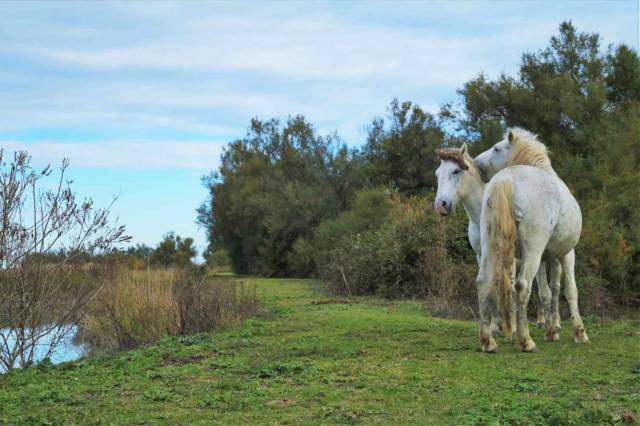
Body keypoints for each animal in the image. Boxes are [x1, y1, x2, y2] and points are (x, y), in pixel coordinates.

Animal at [436, 145, 552, 338]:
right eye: (437, 174)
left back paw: (545, 323)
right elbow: (492, 286)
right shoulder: (481, 256)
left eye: (456, 171)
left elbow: (510, 288)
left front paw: (512, 327)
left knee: (542, 288)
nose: (441, 205)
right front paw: (495, 326)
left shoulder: (510, 258)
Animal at [472, 127, 588, 352]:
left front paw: (552, 330)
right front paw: (579, 332)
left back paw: (488, 341)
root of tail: (507, 180)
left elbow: (549, 291)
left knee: (484, 282)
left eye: (496, 148)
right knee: (522, 285)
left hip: (491, 246)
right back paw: (526, 341)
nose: (476, 163)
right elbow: (570, 290)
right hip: (533, 251)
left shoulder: (548, 257)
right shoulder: (567, 253)